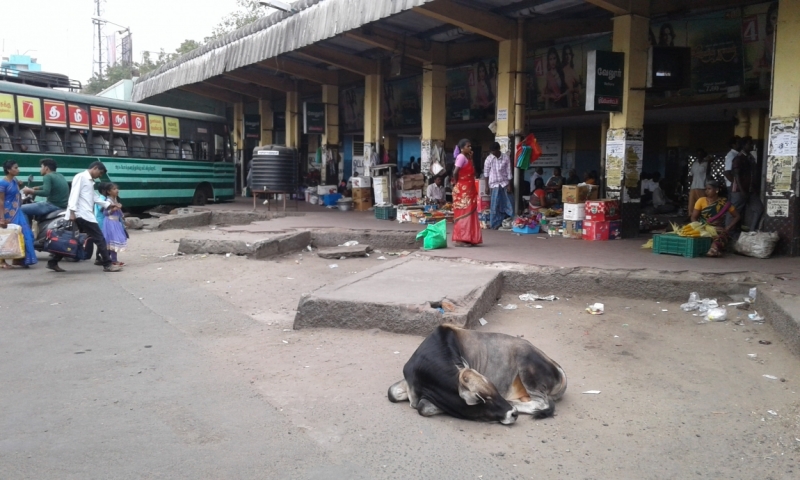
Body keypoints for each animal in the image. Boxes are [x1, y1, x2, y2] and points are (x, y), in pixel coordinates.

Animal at [390, 324, 568, 422]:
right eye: (484, 398)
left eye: (495, 389)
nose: (512, 414)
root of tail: (558, 368)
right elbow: (392, 393)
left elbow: (422, 407)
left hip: (528, 368)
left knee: (541, 403)